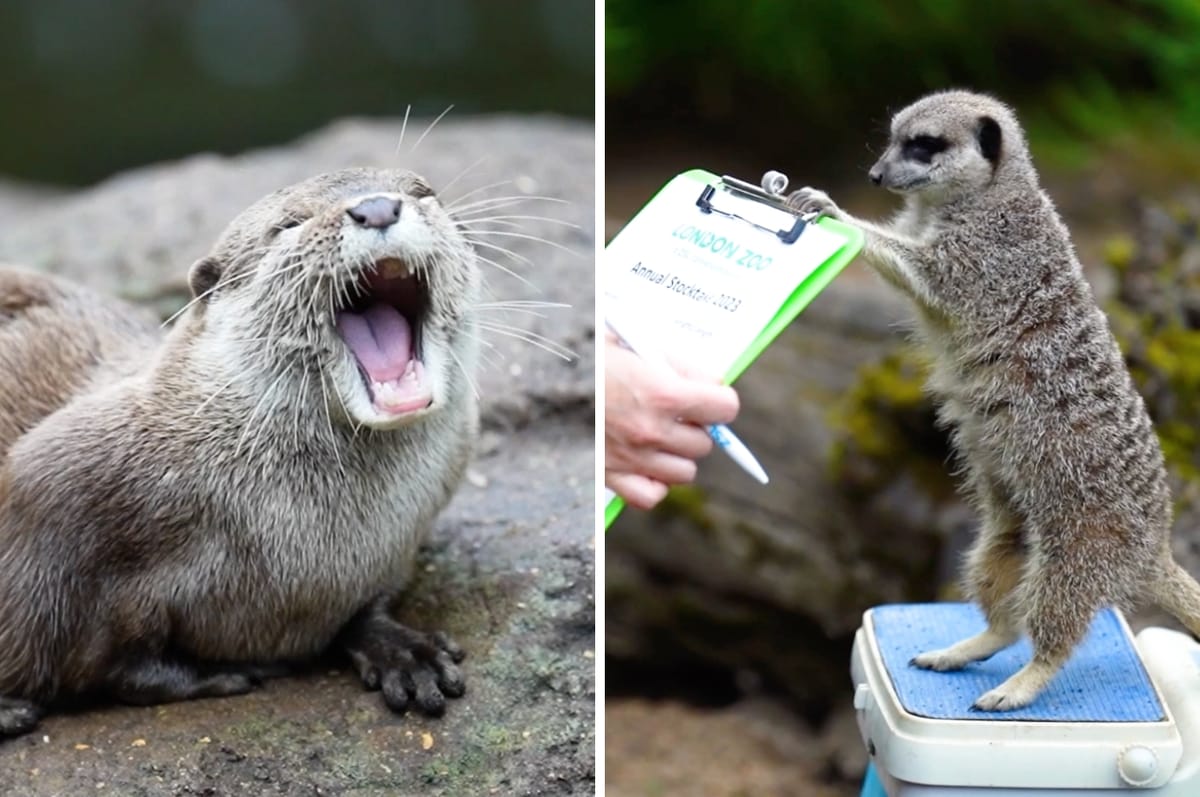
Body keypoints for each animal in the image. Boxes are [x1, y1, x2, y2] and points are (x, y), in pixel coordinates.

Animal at [0, 166, 477, 734]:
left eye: (423, 192)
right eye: (289, 224)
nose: (378, 208)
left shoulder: (394, 548)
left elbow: (367, 606)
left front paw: (401, 648)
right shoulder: (49, 494)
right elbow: (109, 660)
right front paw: (216, 674)